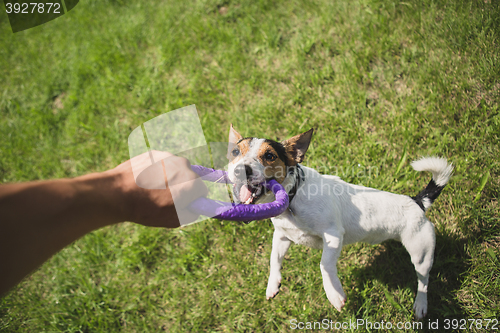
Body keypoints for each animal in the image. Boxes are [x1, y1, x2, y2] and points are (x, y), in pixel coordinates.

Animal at [227, 125, 454, 320]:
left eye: (269, 156)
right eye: (235, 152)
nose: (240, 170)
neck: (294, 196)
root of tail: (417, 202)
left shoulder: (333, 235)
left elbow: (324, 265)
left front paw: (334, 294)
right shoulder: (282, 236)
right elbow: (274, 259)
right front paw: (272, 285)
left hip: (421, 253)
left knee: (423, 281)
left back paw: (421, 304)